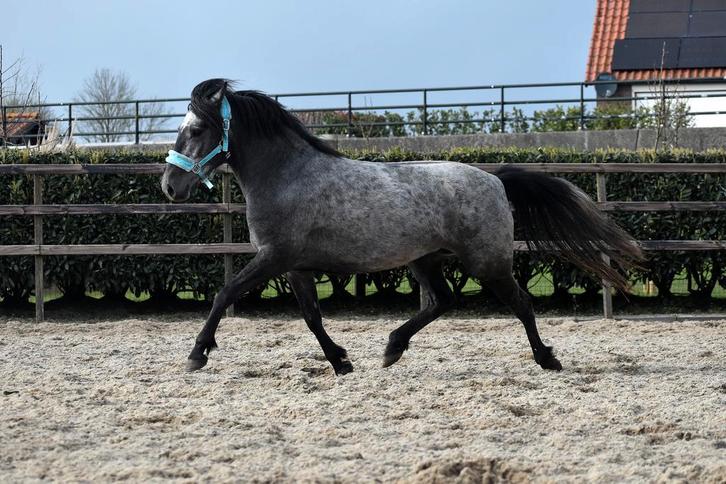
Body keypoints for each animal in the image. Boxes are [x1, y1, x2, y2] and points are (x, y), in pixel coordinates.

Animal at [161, 79, 643, 375]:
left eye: (198, 129)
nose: (169, 185)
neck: (287, 177)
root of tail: (494, 179)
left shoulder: (273, 258)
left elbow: (224, 294)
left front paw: (196, 354)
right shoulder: (294, 266)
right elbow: (312, 317)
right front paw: (341, 362)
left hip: (488, 263)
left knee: (520, 304)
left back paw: (547, 359)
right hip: (425, 260)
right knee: (442, 301)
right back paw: (392, 348)